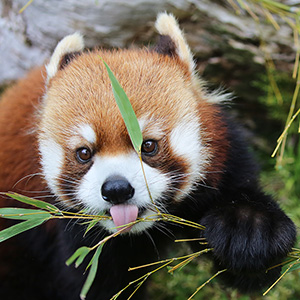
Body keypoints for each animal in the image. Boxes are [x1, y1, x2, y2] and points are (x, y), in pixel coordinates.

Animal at [0, 12, 296, 298]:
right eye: (84, 153)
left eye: (149, 146)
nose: (116, 189)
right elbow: (90, 282)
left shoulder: (226, 162)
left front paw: (249, 229)